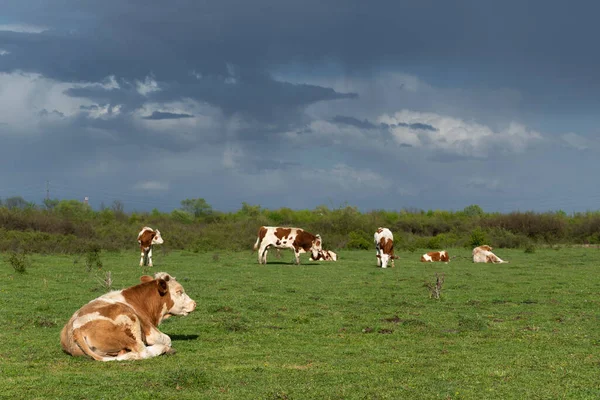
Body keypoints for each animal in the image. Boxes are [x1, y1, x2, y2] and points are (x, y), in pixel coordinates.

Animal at [59, 272, 195, 362]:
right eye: (179, 291)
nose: (194, 303)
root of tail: (76, 329)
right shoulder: (150, 331)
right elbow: (167, 338)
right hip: (129, 321)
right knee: (142, 351)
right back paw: (162, 349)